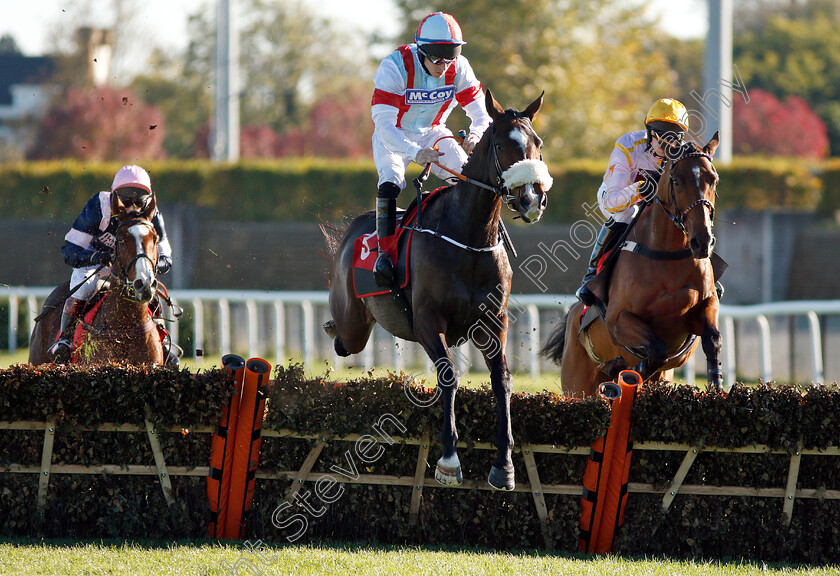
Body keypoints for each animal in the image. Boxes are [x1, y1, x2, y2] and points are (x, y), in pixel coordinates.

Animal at [322, 91, 552, 490]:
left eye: (537, 142)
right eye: (501, 145)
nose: (532, 199)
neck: (468, 237)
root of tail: (352, 230)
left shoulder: (494, 321)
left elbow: (502, 380)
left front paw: (504, 465)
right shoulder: (428, 321)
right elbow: (448, 376)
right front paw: (448, 460)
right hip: (354, 322)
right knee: (344, 339)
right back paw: (331, 325)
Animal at [540, 133, 724, 398]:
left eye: (714, 179)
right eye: (677, 181)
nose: (702, 242)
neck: (669, 258)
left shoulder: (706, 305)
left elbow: (713, 340)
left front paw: (717, 387)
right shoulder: (619, 319)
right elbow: (656, 349)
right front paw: (625, 373)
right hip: (575, 383)